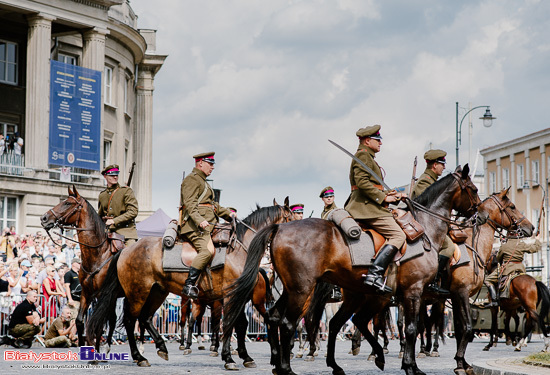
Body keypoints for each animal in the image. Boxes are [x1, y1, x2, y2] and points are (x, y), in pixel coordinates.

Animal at [87, 201, 296, 368]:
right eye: (293, 219)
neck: (240, 249)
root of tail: (125, 250)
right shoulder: (231, 297)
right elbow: (230, 325)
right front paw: (229, 358)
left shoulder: (238, 297)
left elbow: (238, 325)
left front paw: (244, 356)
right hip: (138, 294)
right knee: (131, 321)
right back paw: (139, 357)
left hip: (157, 292)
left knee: (145, 318)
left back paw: (161, 347)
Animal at [224, 165, 484, 375]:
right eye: (473, 188)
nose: (479, 215)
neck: (424, 229)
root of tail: (279, 228)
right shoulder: (415, 292)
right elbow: (412, 329)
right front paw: (413, 366)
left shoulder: (399, 296)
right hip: (302, 291)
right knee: (289, 323)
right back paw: (287, 368)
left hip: (295, 290)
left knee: (277, 317)